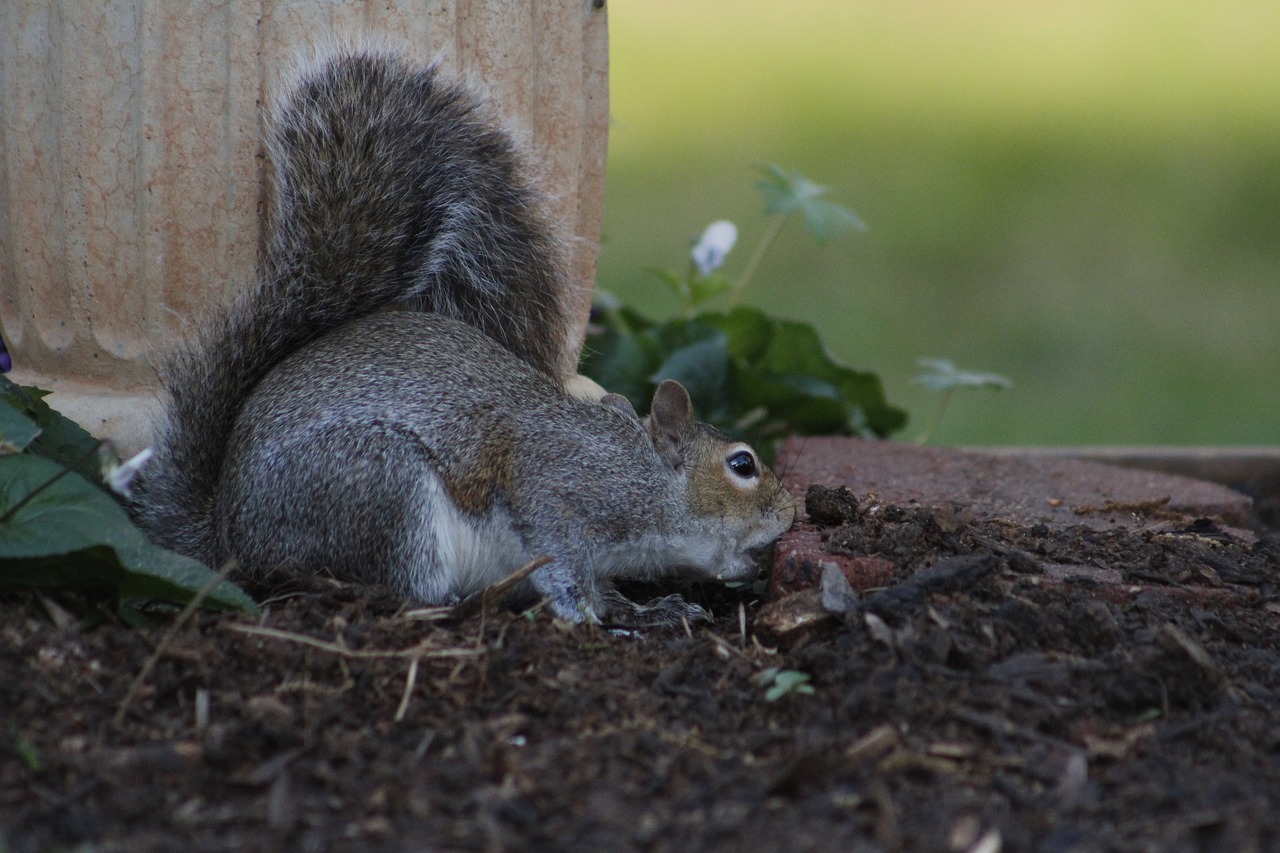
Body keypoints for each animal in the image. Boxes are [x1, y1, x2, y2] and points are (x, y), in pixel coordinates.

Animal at [127, 48, 788, 625]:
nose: (789, 513)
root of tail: (232, 538)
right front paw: (591, 618)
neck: (644, 474)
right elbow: (564, 568)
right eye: (743, 464)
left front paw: (650, 609)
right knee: (398, 587)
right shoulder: (556, 493)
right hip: (382, 491)